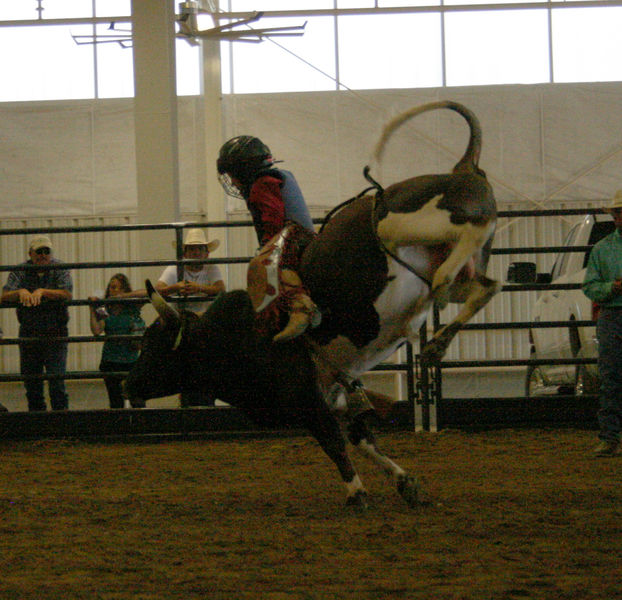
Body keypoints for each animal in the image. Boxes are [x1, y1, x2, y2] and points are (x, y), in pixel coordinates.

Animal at [125, 101, 502, 508]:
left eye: (153, 344)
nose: (129, 385)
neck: (238, 336)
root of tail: (461, 169)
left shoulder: (308, 400)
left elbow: (334, 443)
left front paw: (357, 492)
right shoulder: (336, 392)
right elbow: (362, 438)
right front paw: (405, 483)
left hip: (401, 224)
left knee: (470, 229)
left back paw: (442, 284)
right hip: (457, 265)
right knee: (486, 287)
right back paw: (437, 339)